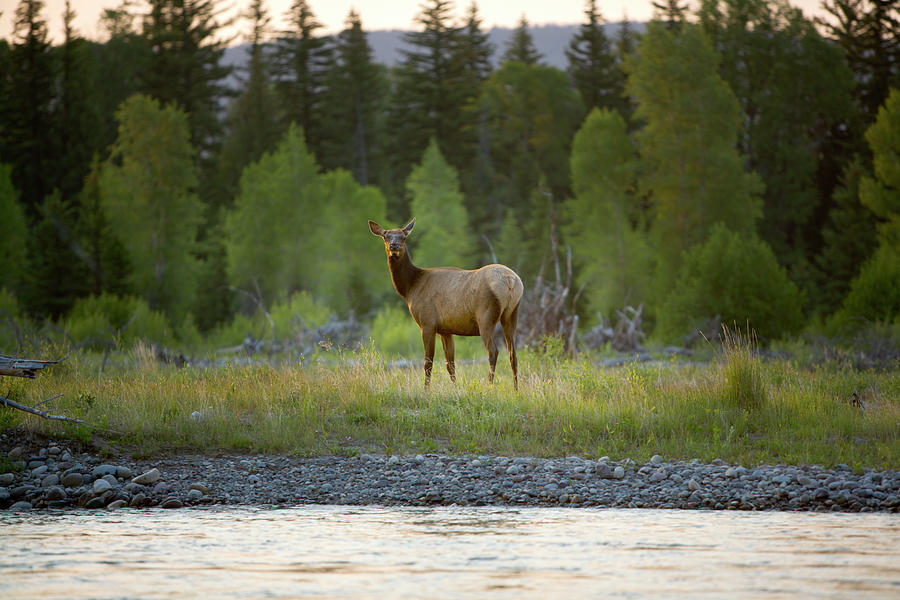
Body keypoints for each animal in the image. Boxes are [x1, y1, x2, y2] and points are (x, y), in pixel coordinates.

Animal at [368, 219, 524, 390]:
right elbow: (450, 364)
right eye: (386, 236)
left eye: (403, 237)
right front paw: (455, 389)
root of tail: (510, 280)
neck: (410, 288)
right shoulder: (446, 330)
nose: (394, 246)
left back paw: (489, 386)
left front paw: (426, 390)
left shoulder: (427, 323)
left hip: (486, 317)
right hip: (512, 314)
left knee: (493, 352)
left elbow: (428, 363)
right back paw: (516, 389)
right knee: (513, 354)